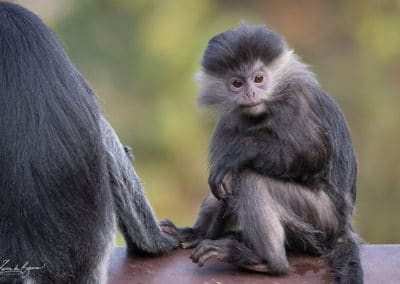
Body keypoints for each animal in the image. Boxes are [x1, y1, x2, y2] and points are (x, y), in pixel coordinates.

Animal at [161, 24, 364, 284]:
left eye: (259, 79)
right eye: (237, 83)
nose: (250, 94)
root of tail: (343, 227)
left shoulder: (297, 102)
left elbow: (312, 154)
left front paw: (239, 153)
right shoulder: (229, 121)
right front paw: (197, 232)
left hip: (321, 217)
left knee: (250, 177)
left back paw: (266, 261)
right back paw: (198, 234)